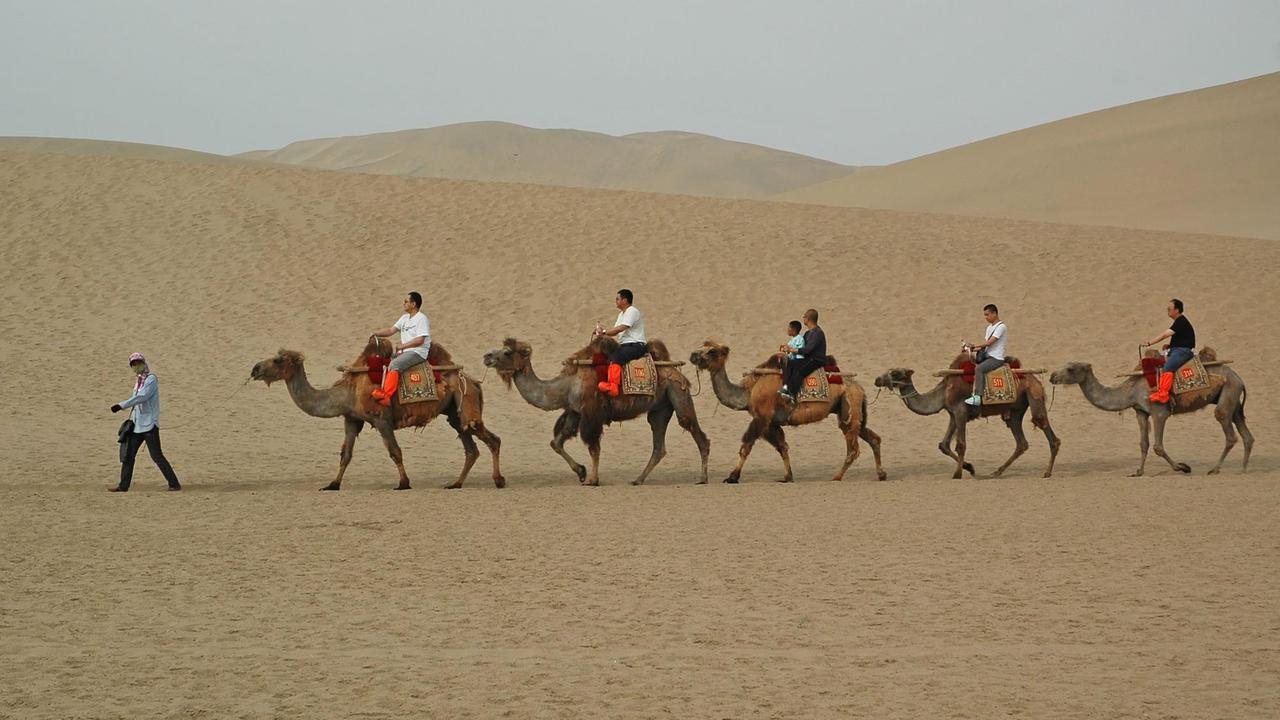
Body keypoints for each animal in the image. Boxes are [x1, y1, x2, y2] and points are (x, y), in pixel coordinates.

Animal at [249, 335, 504, 486]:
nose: (255, 368)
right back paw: (455, 484)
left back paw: (498, 480)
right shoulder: (351, 419)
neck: (347, 393)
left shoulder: (381, 419)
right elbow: (346, 455)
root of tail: (472, 381)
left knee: (492, 439)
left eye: (278, 360)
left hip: (465, 401)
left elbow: (395, 452)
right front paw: (333, 485)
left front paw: (404, 483)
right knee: (471, 448)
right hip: (454, 412)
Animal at [483, 335, 716, 481]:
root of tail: (677, 373)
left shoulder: (592, 414)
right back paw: (638, 480)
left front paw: (592, 479)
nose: (487, 356)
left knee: (696, 433)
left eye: (506, 352)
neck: (567, 385)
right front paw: (581, 472)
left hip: (678, 393)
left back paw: (703, 478)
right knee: (659, 445)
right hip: (660, 408)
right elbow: (556, 442)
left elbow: (593, 447)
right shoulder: (575, 412)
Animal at [691, 340, 880, 481]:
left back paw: (836, 477)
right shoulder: (771, 423)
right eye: (702, 345)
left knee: (853, 448)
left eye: (712, 351)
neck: (748, 391)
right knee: (872, 438)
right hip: (850, 410)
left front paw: (732, 477)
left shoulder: (762, 417)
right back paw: (881, 474)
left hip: (850, 404)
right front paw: (788, 476)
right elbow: (782, 447)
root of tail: (859, 388)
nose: (693, 355)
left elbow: (747, 445)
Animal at [870, 353, 1059, 476]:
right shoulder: (953, 414)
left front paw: (957, 474)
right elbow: (943, 445)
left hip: (1034, 395)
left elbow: (960, 445)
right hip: (1015, 410)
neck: (944, 391)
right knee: (1021, 442)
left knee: (1045, 428)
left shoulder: (960, 411)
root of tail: (1035, 380)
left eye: (895, 373)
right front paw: (970, 467)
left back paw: (1047, 472)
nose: (877, 379)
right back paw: (996, 472)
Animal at [1049, 348, 1249, 476]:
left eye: (1070, 369)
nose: (1052, 376)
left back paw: (1215, 469)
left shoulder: (1159, 412)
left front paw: (1183, 467)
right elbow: (1143, 444)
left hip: (1229, 391)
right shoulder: (1141, 412)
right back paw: (1243, 469)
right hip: (1233, 400)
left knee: (1227, 428)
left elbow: (1158, 446)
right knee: (1245, 433)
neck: (1130, 391)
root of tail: (1239, 378)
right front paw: (1138, 472)